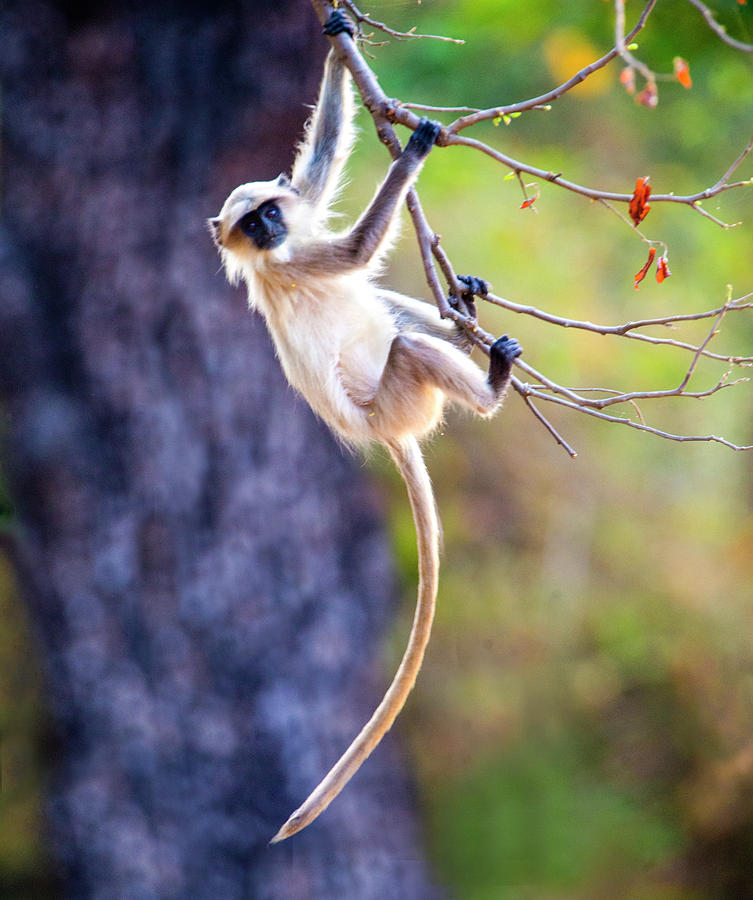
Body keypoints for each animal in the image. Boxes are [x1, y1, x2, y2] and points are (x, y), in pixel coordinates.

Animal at [209, 10, 520, 844]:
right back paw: (489, 389)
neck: (276, 251)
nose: (269, 224)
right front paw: (411, 150)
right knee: (407, 341)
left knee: (395, 313)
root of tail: (386, 435)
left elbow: (317, 169)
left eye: (268, 211)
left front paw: (336, 31)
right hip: (400, 397)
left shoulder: (299, 228)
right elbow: (352, 250)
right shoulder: (296, 260)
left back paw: (463, 306)